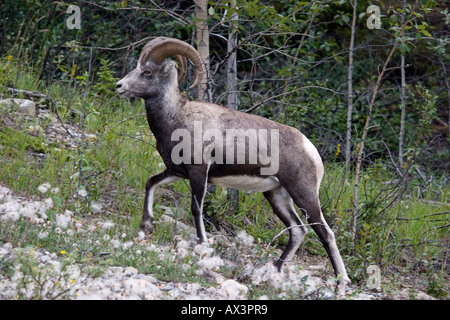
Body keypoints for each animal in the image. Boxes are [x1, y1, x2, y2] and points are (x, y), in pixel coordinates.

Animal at [117, 36, 352, 292]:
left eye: (147, 72)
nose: (119, 86)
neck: (174, 116)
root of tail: (311, 151)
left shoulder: (199, 173)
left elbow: (196, 209)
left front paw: (203, 245)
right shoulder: (176, 171)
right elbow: (151, 183)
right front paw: (145, 226)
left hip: (303, 194)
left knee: (325, 233)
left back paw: (342, 282)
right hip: (276, 195)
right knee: (297, 230)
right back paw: (273, 271)